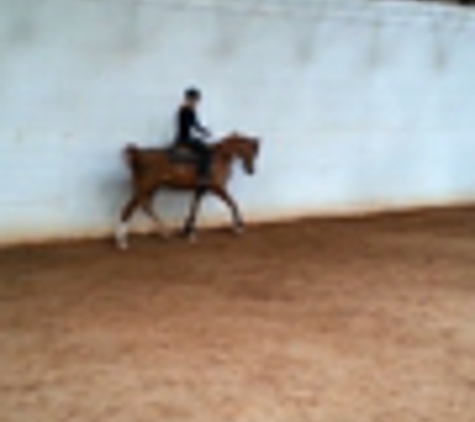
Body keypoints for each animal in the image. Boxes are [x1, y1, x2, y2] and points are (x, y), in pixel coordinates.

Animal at [116, 134, 262, 249]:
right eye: (251, 151)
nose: (251, 171)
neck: (220, 157)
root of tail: (138, 154)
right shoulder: (218, 188)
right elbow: (233, 203)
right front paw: (239, 227)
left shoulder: (201, 189)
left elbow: (195, 207)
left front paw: (189, 231)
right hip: (145, 187)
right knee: (129, 209)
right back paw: (122, 242)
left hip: (152, 188)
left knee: (145, 206)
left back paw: (164, 233)